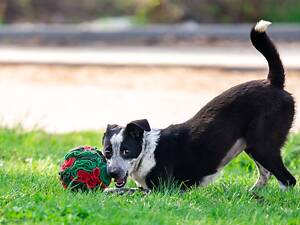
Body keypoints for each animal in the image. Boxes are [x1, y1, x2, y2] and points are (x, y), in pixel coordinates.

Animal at [102, 20, 296, 191]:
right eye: (107, 152)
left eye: (126, 151)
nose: (113, 173)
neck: (148, 151)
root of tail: (273, 83)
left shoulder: (162, 190)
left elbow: (122, 190)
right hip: (252, 145)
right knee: (266, 173)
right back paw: (252, 194)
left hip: (261, 145)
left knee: (288, 180)